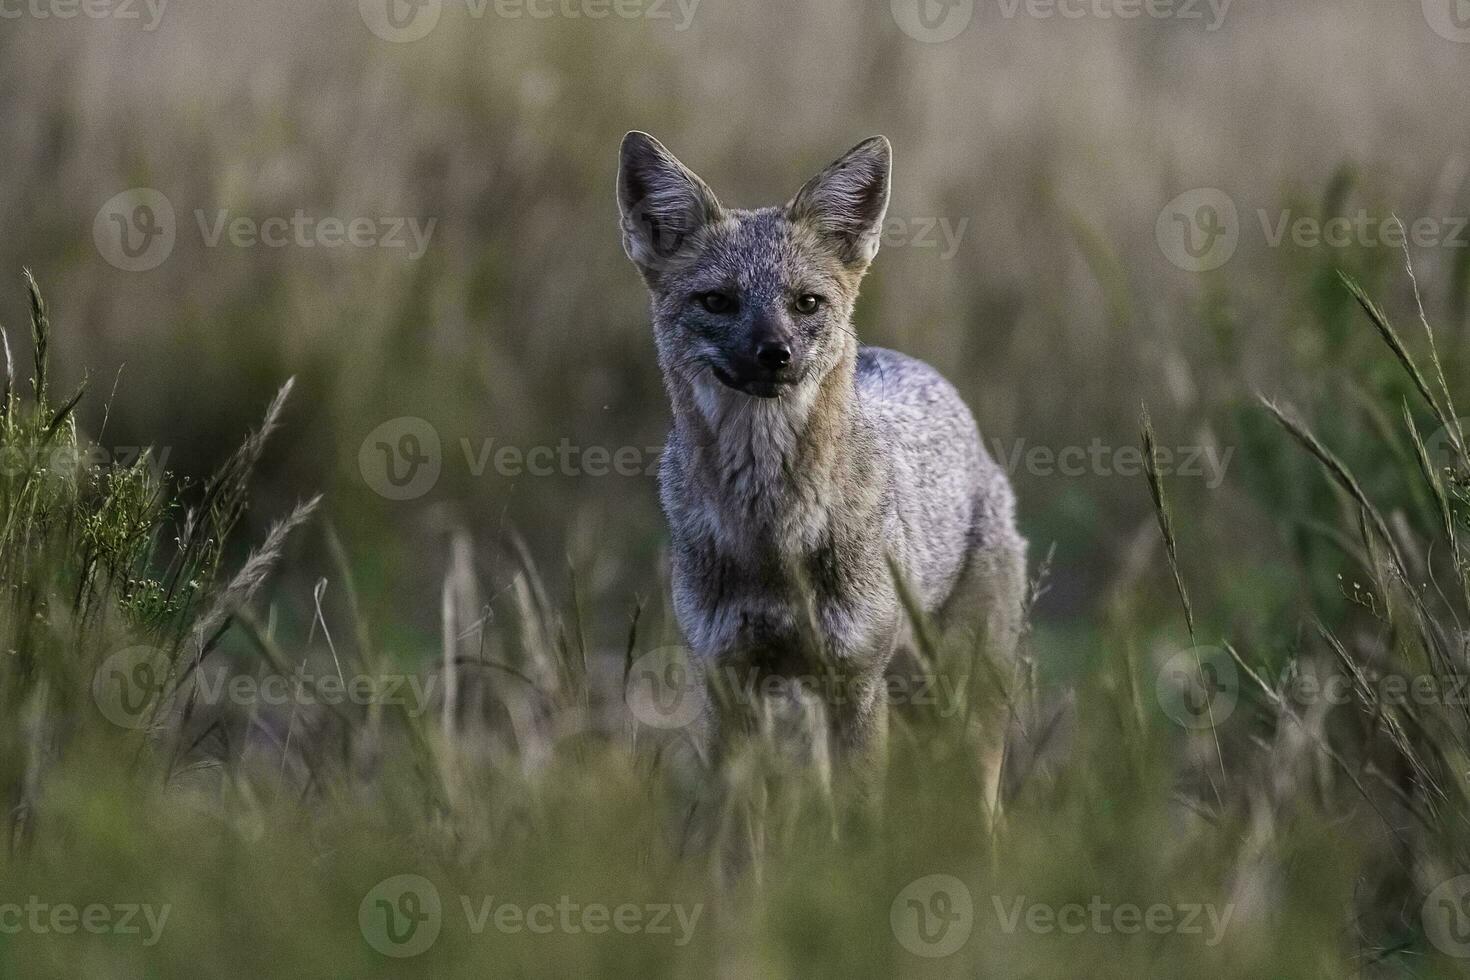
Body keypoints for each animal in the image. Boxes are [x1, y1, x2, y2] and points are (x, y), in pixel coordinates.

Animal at [617, 130, 1023, 769]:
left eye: (805, 303)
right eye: (718, 302)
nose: (775, 354)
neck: (772, 531)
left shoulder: (855, 685)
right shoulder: (728, 684)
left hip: (962, 698)